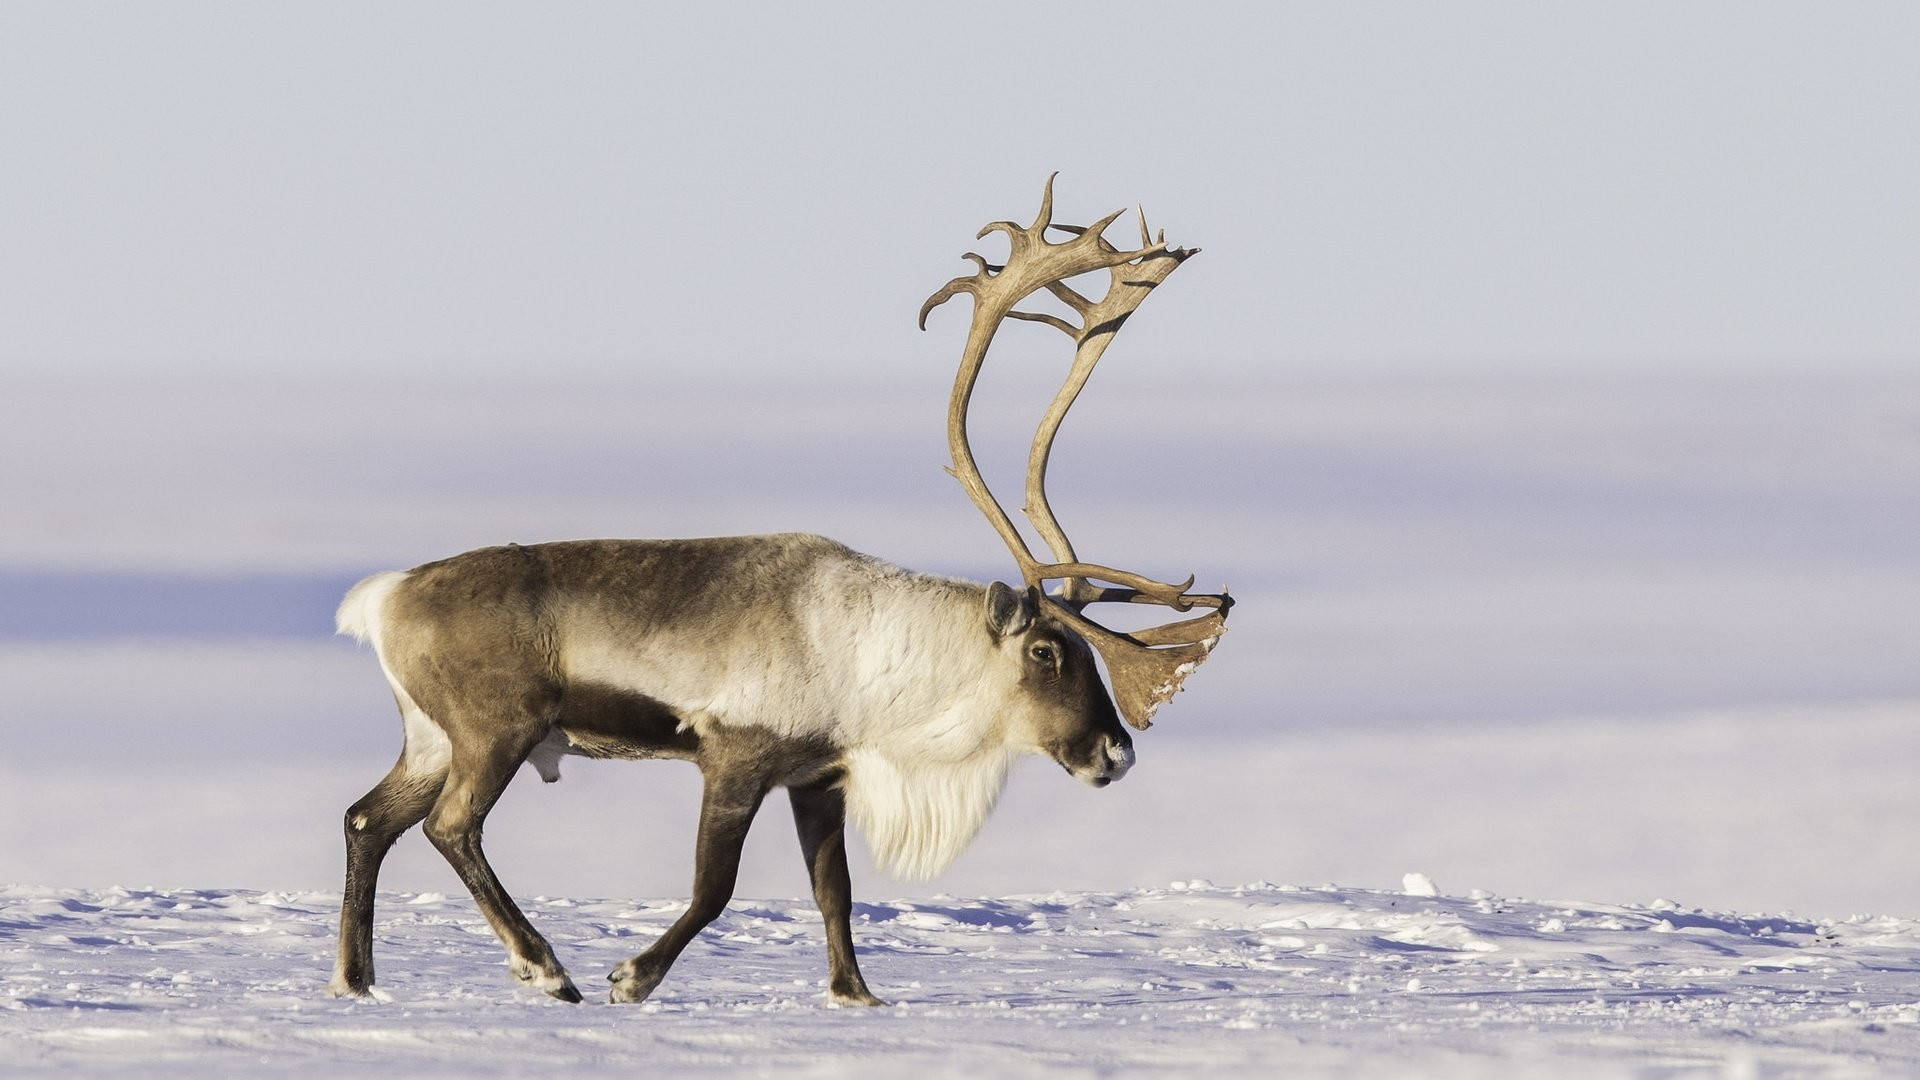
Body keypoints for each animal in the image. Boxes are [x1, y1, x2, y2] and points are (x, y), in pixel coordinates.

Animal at [327, 176, 1231, 1007]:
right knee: (451, 826)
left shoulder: (818, 775)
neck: (876, 657)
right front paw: (633, 976)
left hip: (431, 737)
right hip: (495, 730)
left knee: (367, 819)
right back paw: (546, 968)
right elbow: (714, 888)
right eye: (1047, 650)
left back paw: (356, 981)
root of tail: (383, 598)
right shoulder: (737, 755)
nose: (1116, 752)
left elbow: (835, 891)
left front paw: (856, 995)